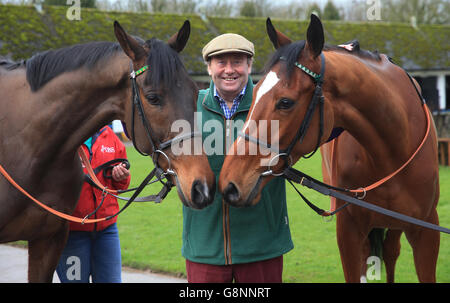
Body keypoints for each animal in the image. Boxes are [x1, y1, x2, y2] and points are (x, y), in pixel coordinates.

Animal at [220, 16, 442, 282]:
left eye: (285, 102)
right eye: (253, 92)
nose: (229, 183)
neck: (394, 149)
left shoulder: (427, 231)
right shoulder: (349, 232)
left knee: (390, 253)